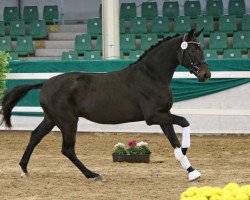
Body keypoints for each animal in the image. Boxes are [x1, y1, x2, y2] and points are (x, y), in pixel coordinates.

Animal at [0, 29, 211, 181]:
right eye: (193, 50)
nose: (206, 74)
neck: (151, 76)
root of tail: (44, 83)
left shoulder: (163, 115)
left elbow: (174, 140)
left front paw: (192, 171)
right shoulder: (153, 116)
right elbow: (184, 122)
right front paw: (185, 152)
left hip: (51, 119)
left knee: (35, 137)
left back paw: (24, 169)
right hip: (68, 122)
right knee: (67, 149)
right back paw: (92, 174)